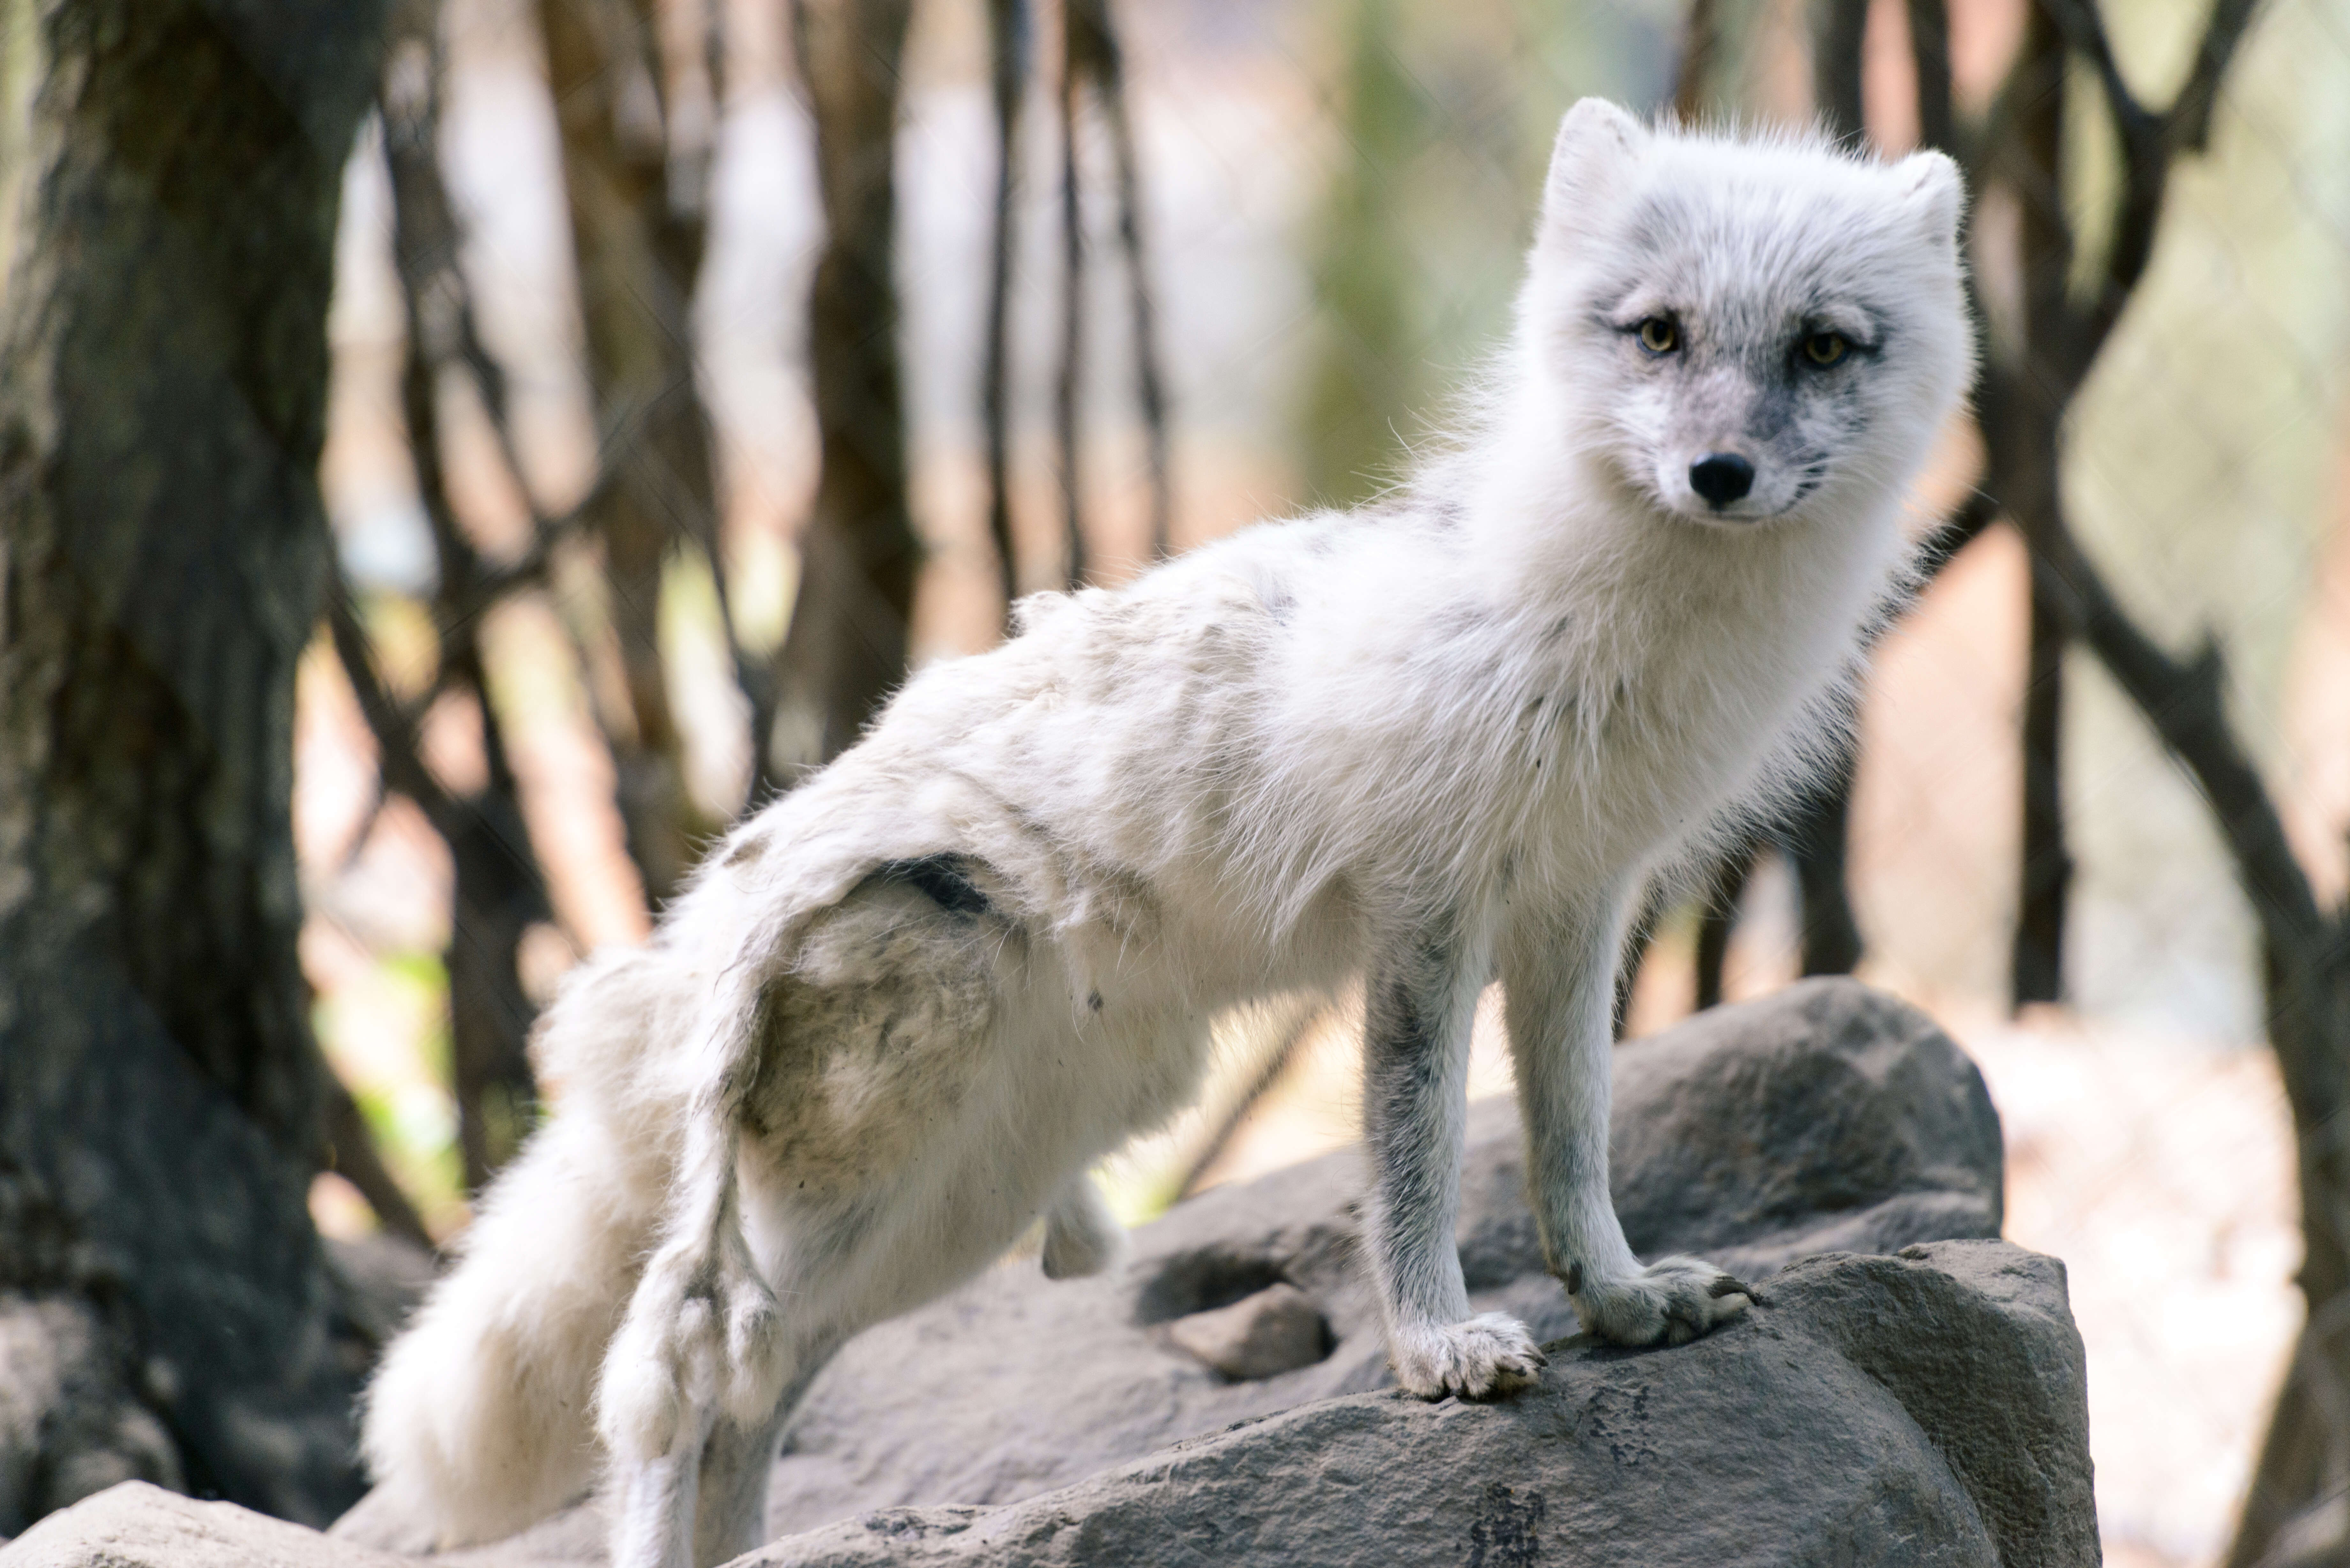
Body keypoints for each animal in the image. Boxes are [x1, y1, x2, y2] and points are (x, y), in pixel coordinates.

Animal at [357, 101, 1974, 1568]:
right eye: (1657, 334)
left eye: (1821, 348)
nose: (1720, 474)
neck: (1604, 621)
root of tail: (676, 946)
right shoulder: (1427, 909)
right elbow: (1418, 1159)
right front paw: (1437, 1348)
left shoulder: (1580, 905)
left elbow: (1573, 1144)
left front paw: (1627, 1305)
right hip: (872, 1182)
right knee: (668, 1370)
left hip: (958, 1203)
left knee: (749, 1395)